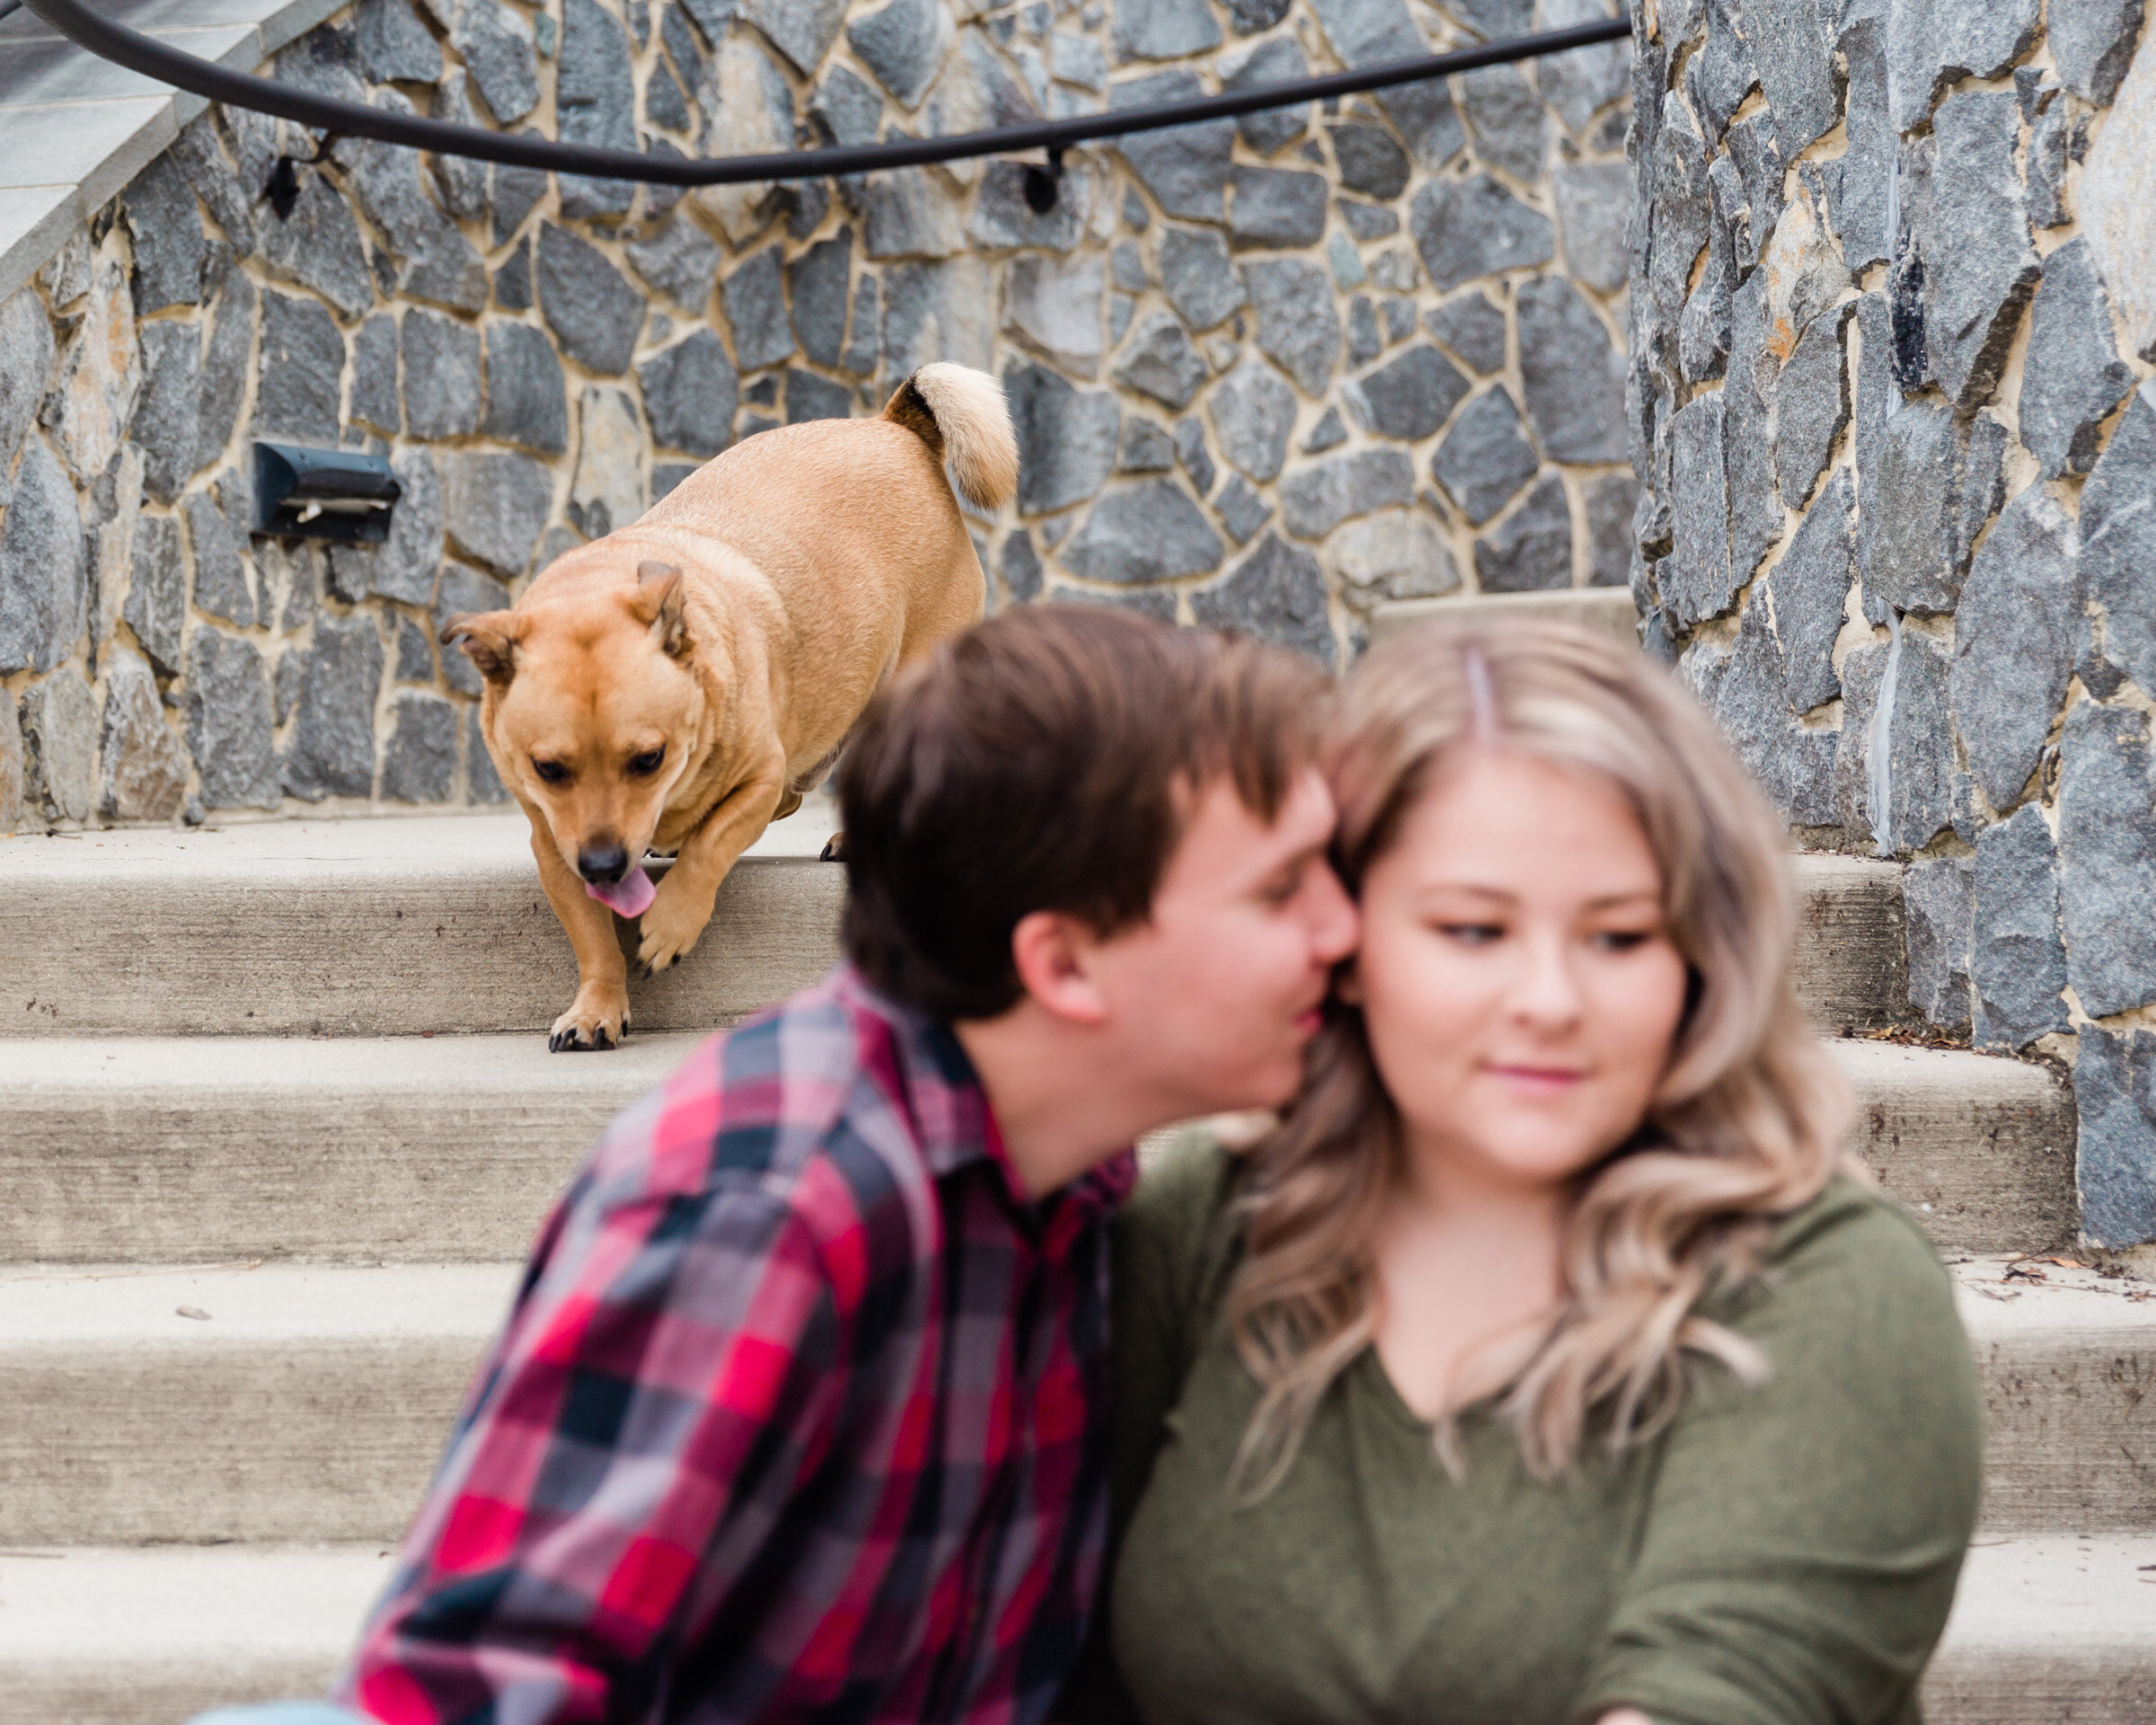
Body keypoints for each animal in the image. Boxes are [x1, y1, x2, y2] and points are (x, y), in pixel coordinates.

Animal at [446, 364, 1017, 1052]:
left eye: (649, 760)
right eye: (549, 770)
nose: (606, 864)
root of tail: (895, 427)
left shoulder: (757, 778)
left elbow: (712, 846)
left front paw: (672, 923)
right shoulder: (556, 846)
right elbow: (593, 938)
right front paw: (597, 1006)